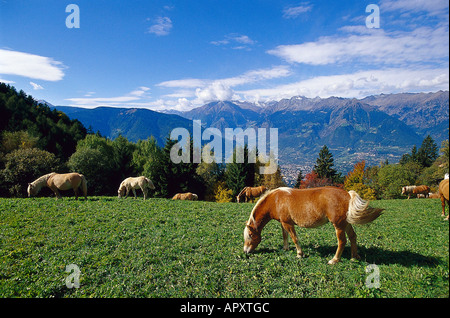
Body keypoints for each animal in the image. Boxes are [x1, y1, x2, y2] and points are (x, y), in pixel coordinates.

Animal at [243, 186, 384, 264]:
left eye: (251, 235)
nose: (245, 251)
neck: (276, 199)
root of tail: (348, 195)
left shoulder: (288, 223)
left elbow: (294, 238)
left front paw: (299, 254)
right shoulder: (284, 223)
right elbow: (285, 236)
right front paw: (285, 248)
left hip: (338, 225)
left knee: (342, 241)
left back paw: (334, 260)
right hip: (346, 223)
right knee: (353, 237)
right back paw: (354, 257)